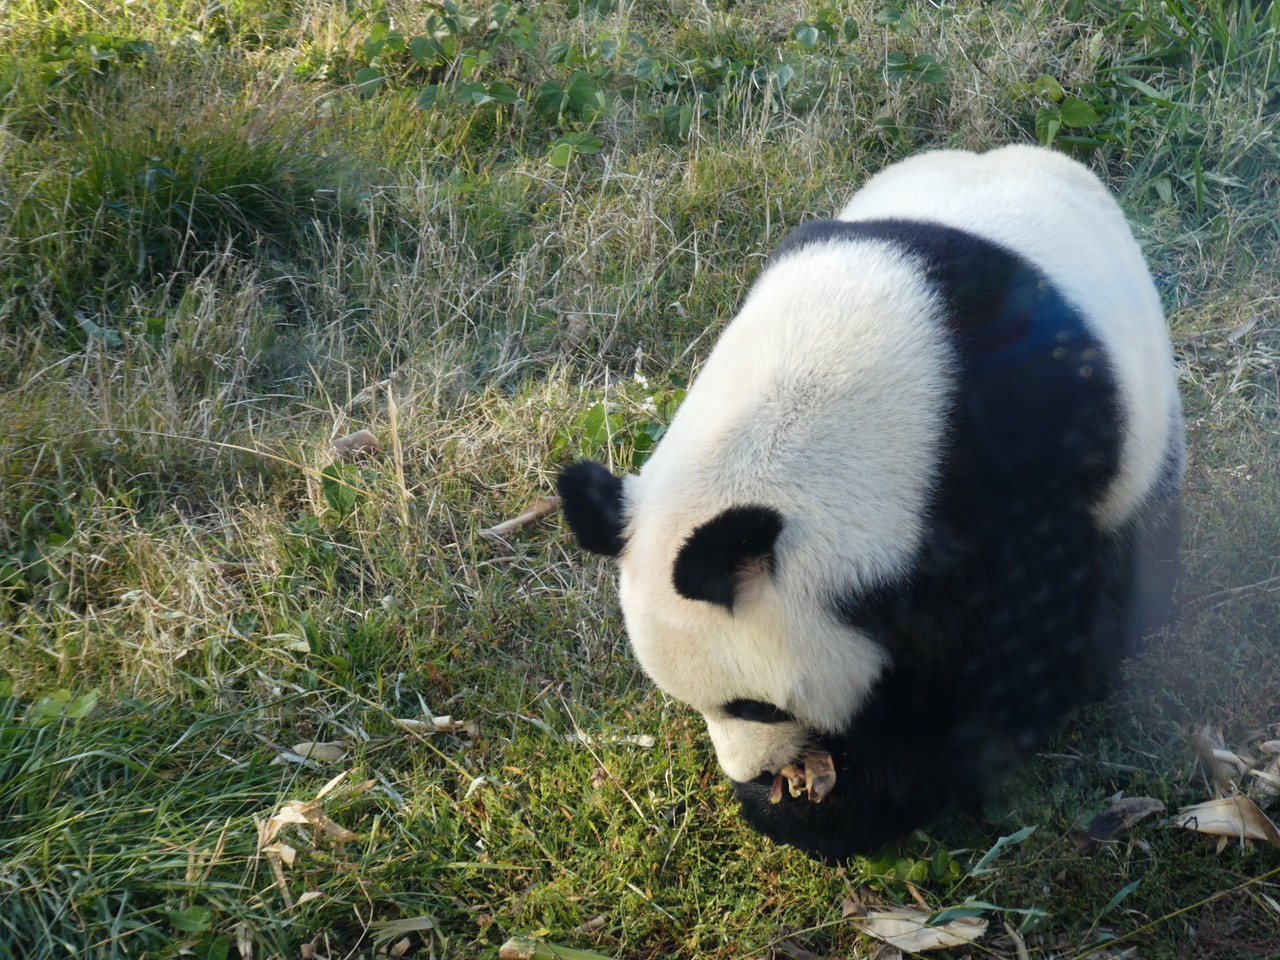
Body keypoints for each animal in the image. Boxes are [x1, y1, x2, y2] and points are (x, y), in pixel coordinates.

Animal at [557, 145, 1185, 865]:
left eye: (755, 706)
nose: (749, 769)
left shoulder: (1009, 471)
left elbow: (1018, 661)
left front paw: (828, 805)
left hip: (1145, 433)